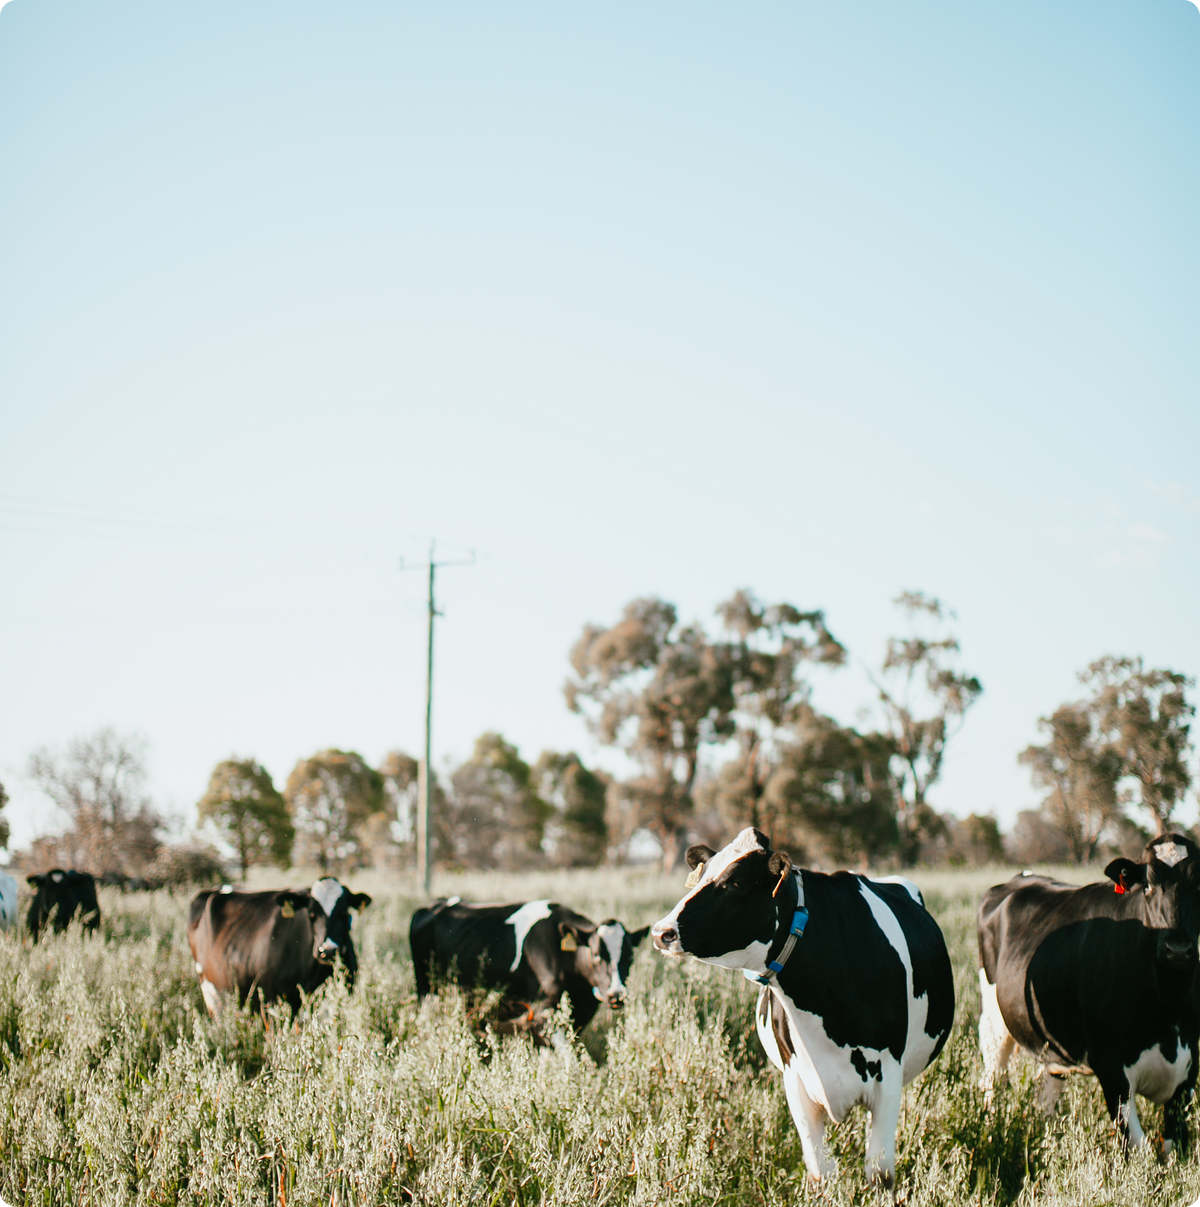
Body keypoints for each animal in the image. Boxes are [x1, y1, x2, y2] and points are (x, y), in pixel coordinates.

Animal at [409, 897, 649, 1038]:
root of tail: (434, 905)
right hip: (426, 989)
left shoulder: (582, 1011)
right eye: (597, 955)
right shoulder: (543, 1010)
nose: (616, 995)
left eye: (630, 957)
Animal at [650, 828, 955, 1190]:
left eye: (736, 882)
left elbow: (879, 1174)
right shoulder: (796, 1081)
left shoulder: (888, 1076)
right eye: (700, 875)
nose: (661, 932)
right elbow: (820, 1172)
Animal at [978, 833, 1200, 1155]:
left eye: (1198, 884)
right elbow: (1139, 1149)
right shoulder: (1111, 1069)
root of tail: (1021, 877)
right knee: (992, 1083)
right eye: (1146, 885)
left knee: (1047, 1097)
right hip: (994, 1025)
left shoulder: (1189, 1070)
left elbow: (1170, 1152)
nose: (1178, 949)